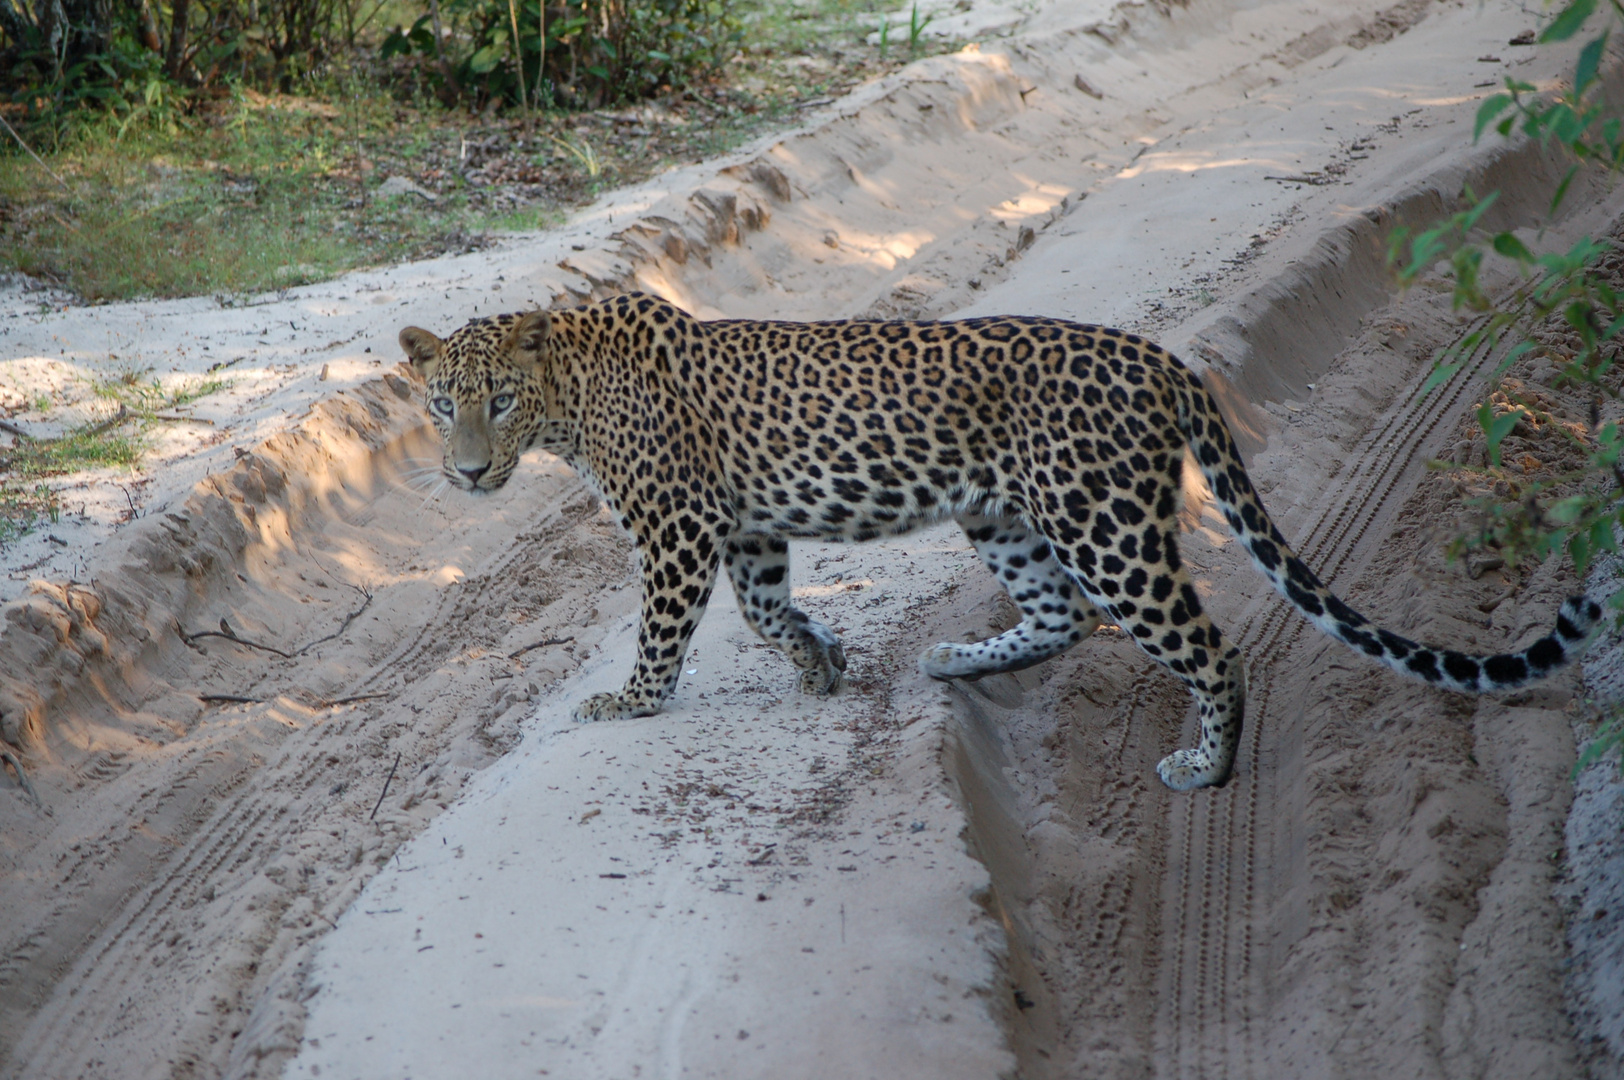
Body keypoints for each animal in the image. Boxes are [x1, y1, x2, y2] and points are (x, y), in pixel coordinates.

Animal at [402, 295, 1598, 792]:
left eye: (499, 401)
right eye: (441, 404)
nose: (465, 473)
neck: (569, 401)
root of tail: (1162, 360)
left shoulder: (681, 528)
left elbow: (665, 632)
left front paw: (631, 701)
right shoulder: (744, 529)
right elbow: (766, 607)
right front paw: (822, 662)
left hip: (1104, 524)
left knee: (1207, 646)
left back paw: (1205, 770)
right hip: (1005, 513)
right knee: (1059, 616)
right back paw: (955, 661)